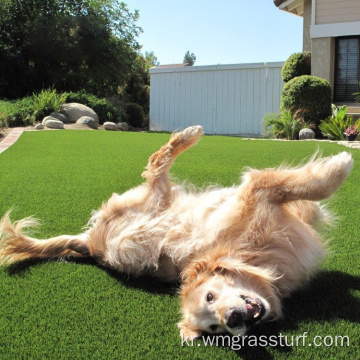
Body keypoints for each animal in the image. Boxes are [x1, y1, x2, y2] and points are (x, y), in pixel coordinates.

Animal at [0, 126, 354, 340]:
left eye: (211, 295)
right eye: (215, 328)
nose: (234, 319)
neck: (248, 257)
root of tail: (89, 244)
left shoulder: (262, 203)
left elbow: (304, 191)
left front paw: (339, 165)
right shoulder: (259, 197)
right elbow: (291, 184)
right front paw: (339, 167)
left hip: (154, 201)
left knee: (157, 164)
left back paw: (189, 136)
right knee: (156, 165)